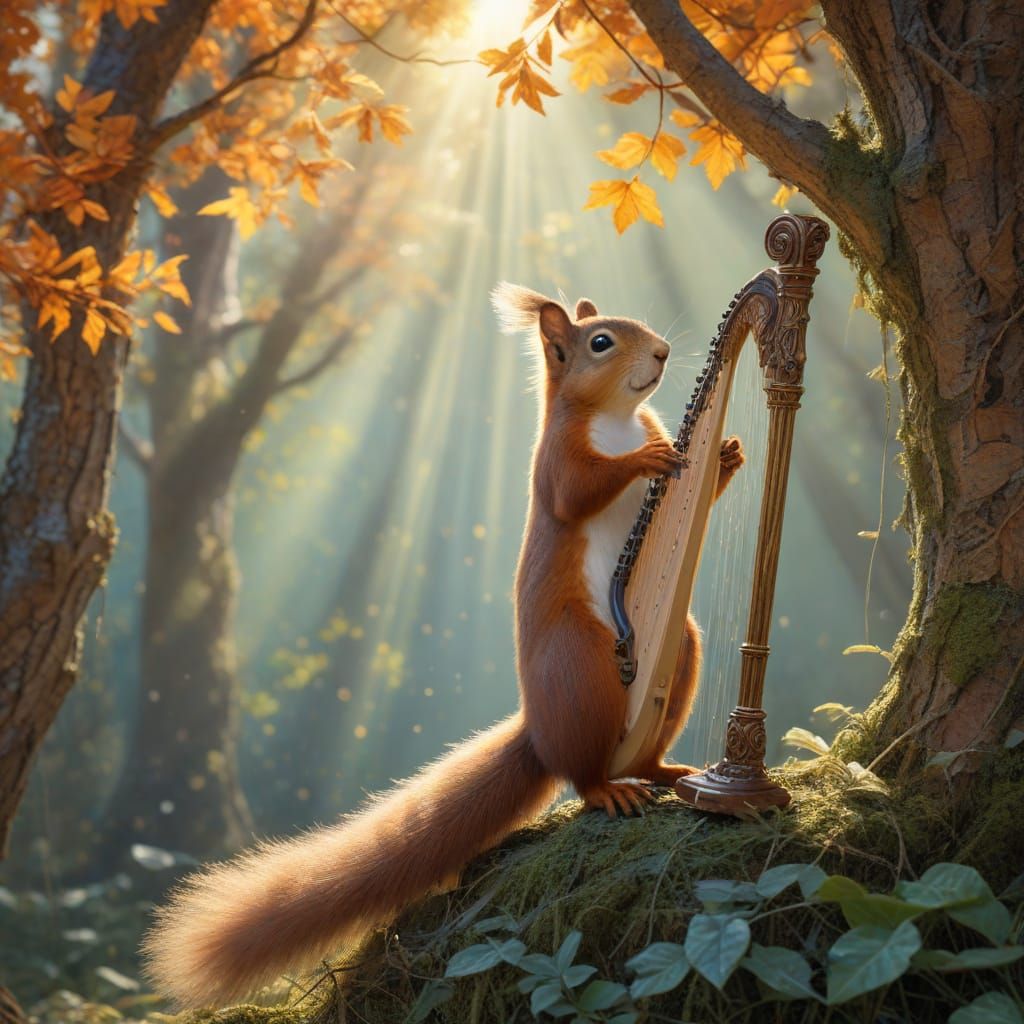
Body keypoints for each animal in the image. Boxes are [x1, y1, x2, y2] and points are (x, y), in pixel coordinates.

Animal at [143, 285, 744, 1008]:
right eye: (601, 342)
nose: (659, 352)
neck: (619, 420)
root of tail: (540, 731)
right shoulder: (557, 464)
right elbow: (580, 491)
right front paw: (644, 463)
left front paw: (725, 455)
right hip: (579, 661)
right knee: (582, 771)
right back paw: (606, 790)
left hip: (677, 647)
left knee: (650, 732)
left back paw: (663, 771)